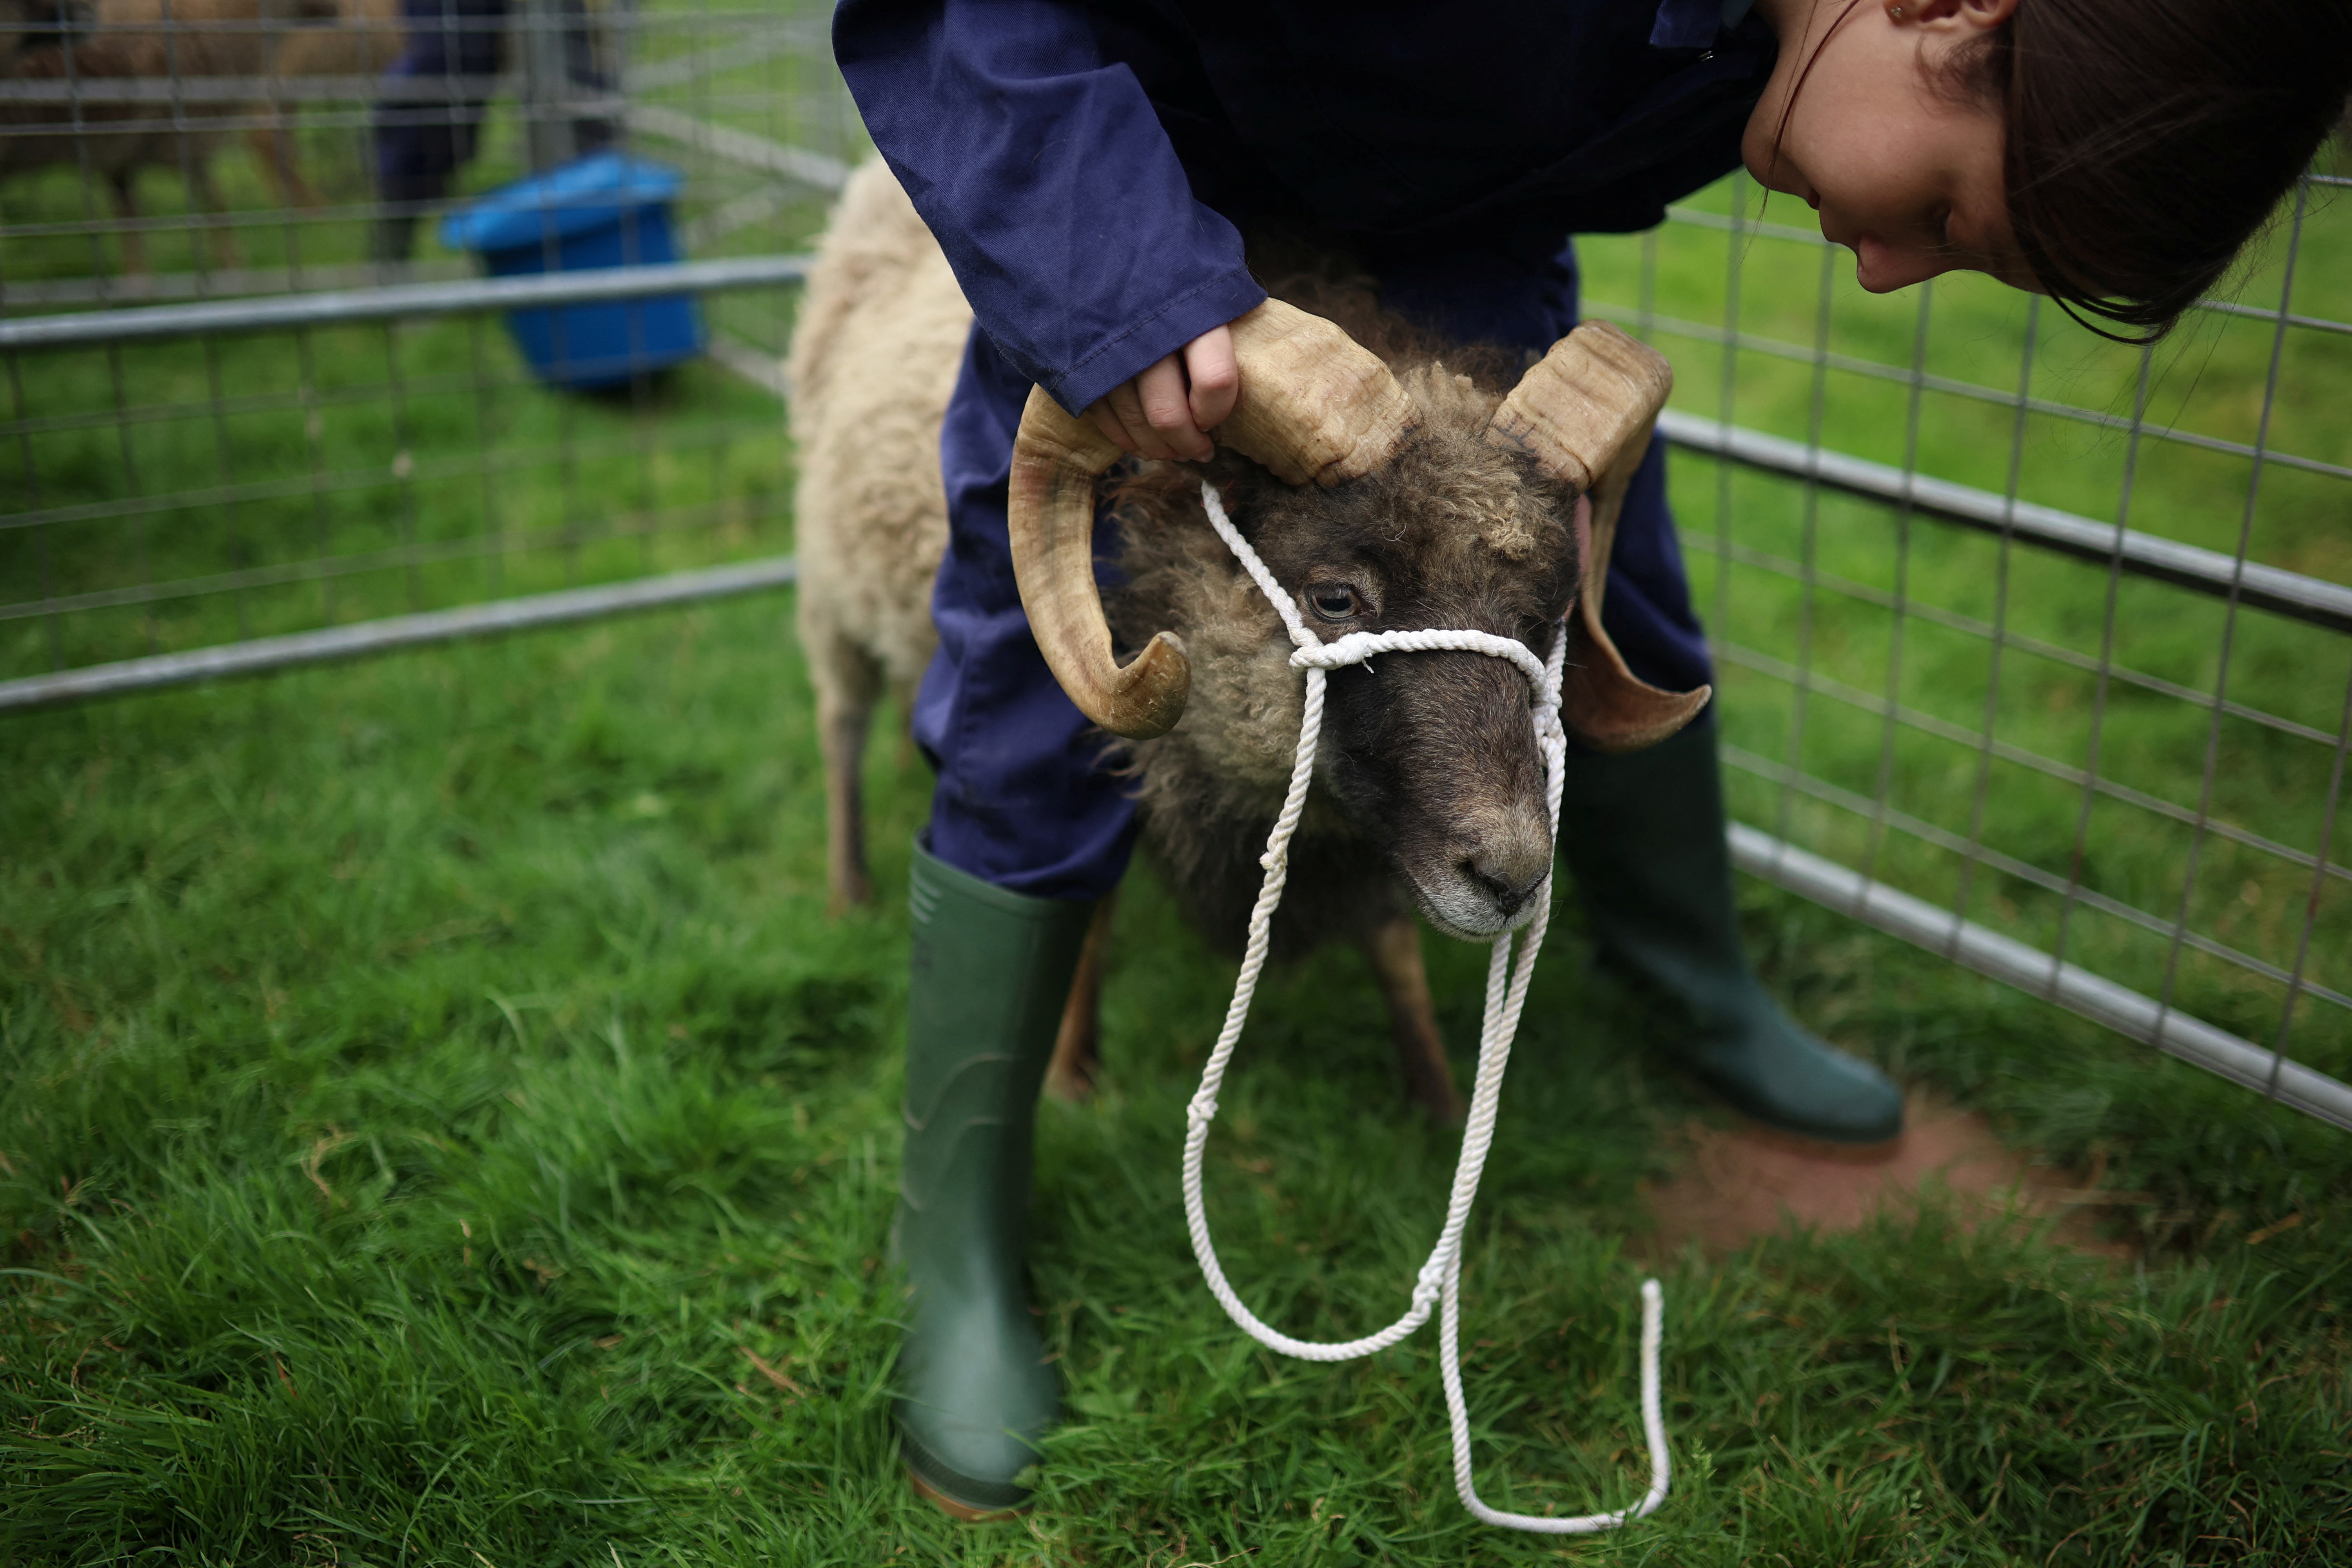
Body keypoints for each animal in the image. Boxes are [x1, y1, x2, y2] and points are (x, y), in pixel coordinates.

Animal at [786, 165, 1693, 1123]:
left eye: (1545, 620)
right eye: (1335, 597)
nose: (1514, 876)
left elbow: (1394, 945)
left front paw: (1442, 1102)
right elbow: (1084, 899)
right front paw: (1070, 1073)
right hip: (829, 592)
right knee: (840, 728)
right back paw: (850, 891)